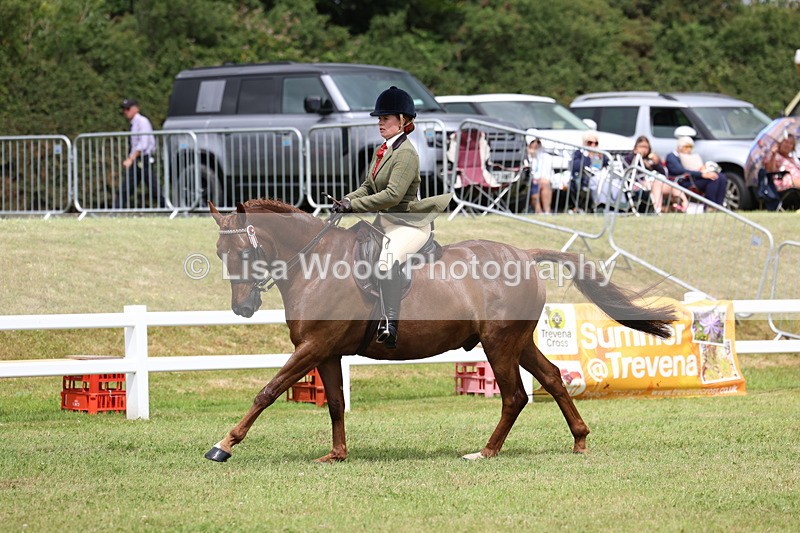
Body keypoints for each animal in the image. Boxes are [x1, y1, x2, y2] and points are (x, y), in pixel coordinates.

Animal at [205, 199, 677, 463]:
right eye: (220, 252)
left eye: (244, 251)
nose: (243, 308)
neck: (313, 262)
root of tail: (523, 254)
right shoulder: (327, 351)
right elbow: (336, 404)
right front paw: (336, 455)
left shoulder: (312, 346)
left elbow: (267, 391)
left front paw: (224, 444)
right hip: (518, 342)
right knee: (553, 378)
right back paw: (579, 442)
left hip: (499, 344)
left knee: (514, 396)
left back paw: (486, 452)